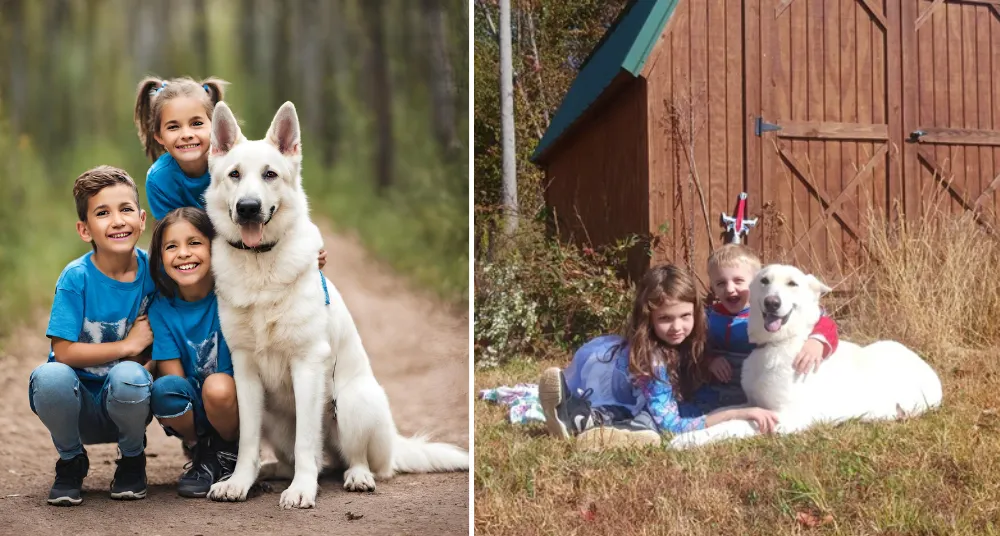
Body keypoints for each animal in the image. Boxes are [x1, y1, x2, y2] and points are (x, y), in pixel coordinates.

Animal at [204, 99, 472, 506]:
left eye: (269, 174)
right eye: (234, 175)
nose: (248, 208)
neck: (261, 266)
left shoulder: (308, 363)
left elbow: (305, 444)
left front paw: (302, 490)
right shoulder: (245, 370)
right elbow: (248, 442)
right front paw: (238, 482)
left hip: (349, 404)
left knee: (357, 461)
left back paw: (356, 476)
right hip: (275, 417)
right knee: (305, 458)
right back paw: (271, 472)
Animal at [668, 266, 940, 450]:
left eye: (792, 284)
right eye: (764, 281)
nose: (772, 302)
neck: (778, 343)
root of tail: (932, 374)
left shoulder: (782, 419)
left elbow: (731, 424)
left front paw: (685, 439)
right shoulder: (753, 404)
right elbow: (726, 411)